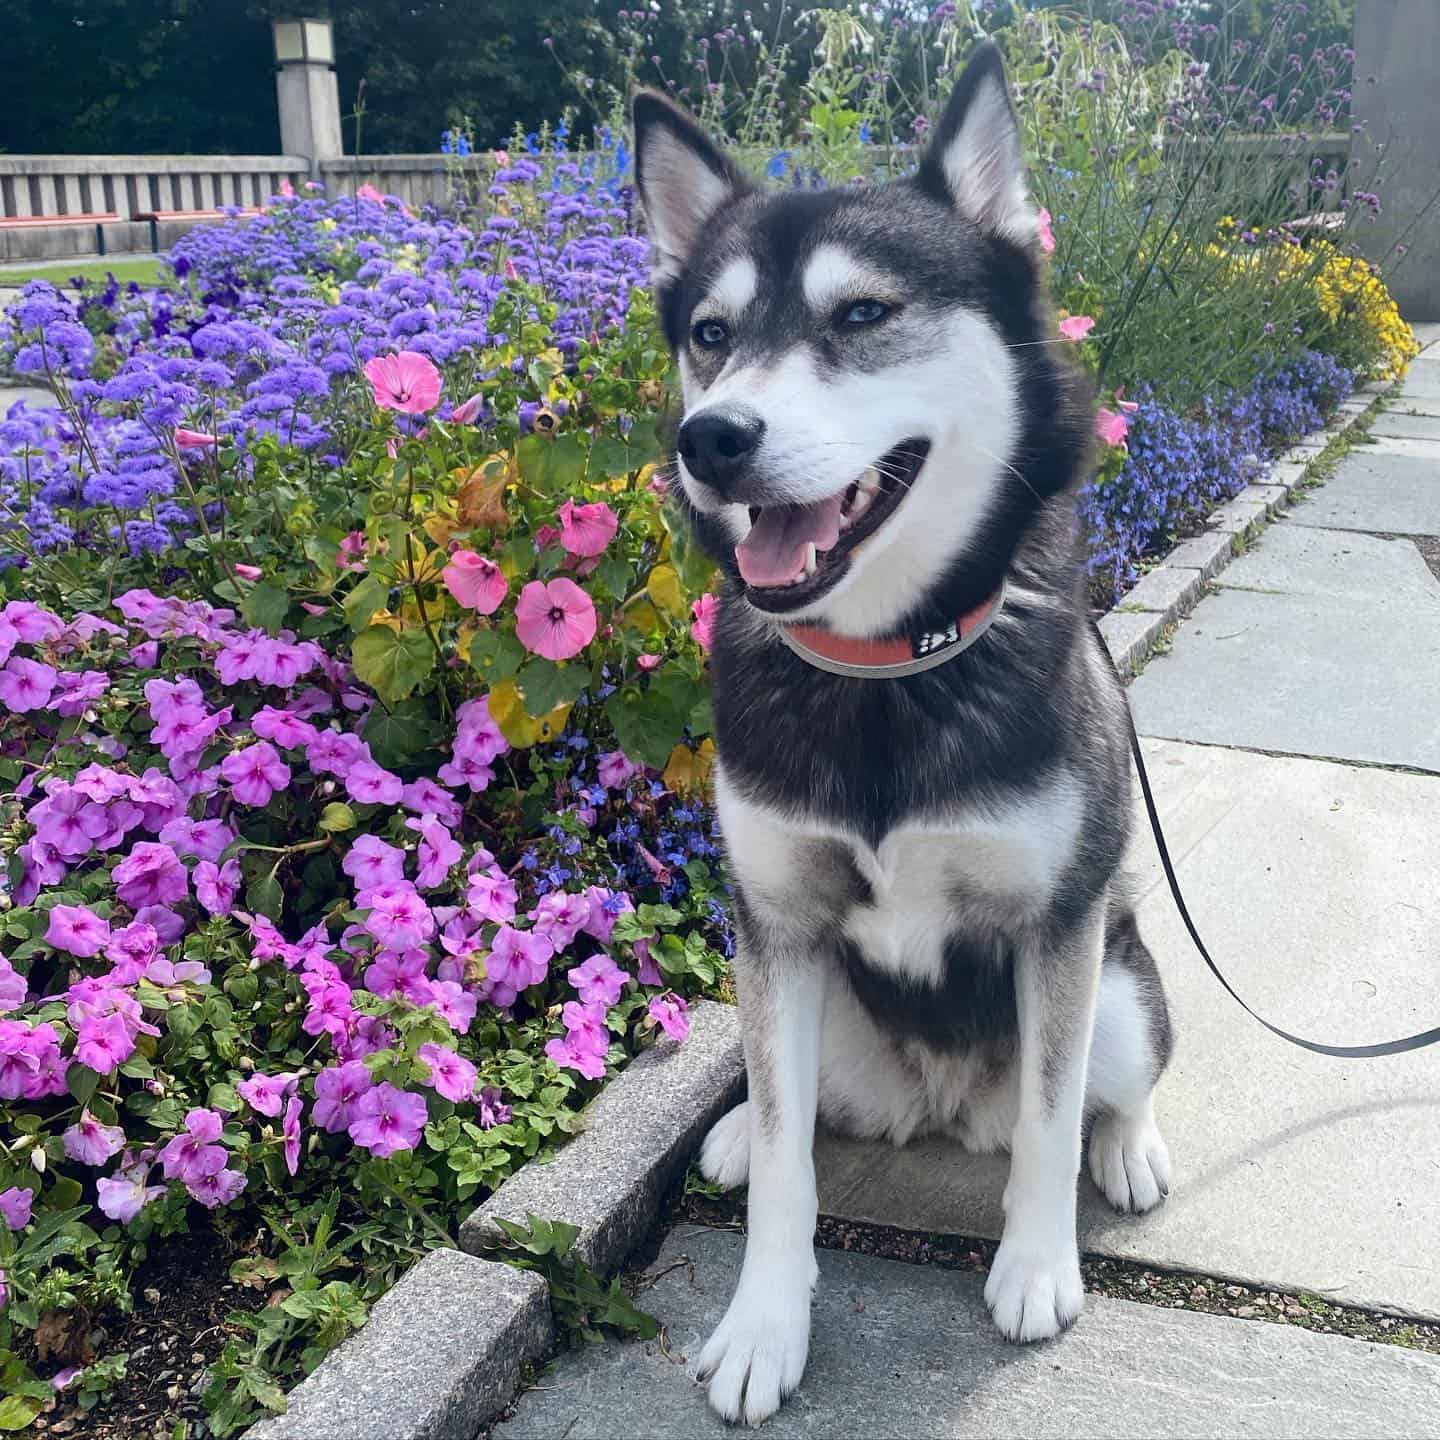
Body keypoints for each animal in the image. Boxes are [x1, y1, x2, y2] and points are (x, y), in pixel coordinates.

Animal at [636, 45, 1175, 1428]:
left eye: (864, 315)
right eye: (711, 335)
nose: (711, 438)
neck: (882, 670)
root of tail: (936, 1108)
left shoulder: (1056, 925)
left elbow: (1048, 1119)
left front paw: (1034, 1266)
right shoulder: (774, 919)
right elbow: (788, 1162)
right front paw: (764, 1324)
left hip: (1124, 979)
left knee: (1104, 1081)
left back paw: (1131, 1147)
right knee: (791, 1102)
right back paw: (730, 1131)